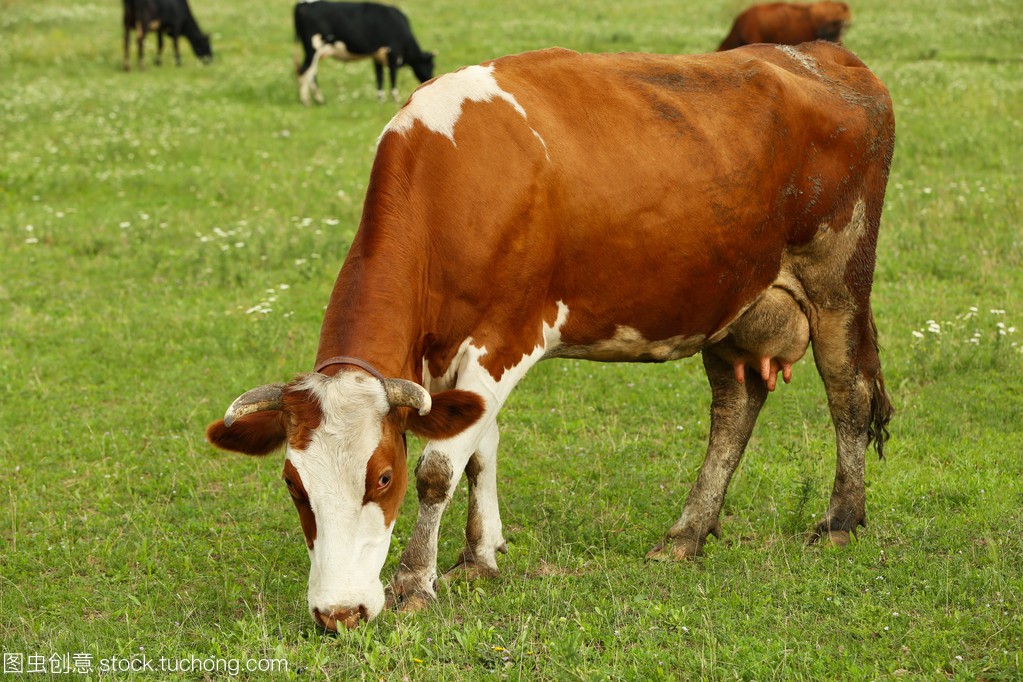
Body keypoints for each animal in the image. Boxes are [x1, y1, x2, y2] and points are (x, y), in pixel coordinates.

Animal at [207, 41, 896, 629]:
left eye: (381, 477)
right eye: (293, 483)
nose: (338, 613)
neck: (454, 186)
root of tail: (828, 56)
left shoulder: (506, 338)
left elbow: (439, 467)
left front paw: (413, 582)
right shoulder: (443, 364)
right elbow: (479, 446)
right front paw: (478, 557)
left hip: (838, 282)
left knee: (848, 393)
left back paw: (841, 519)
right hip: (732, 301)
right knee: (735, 407)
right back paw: (686, 534)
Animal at [298, 0, 437, 104]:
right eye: (431, 66)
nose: (430, 79)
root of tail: (304, 4)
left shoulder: (377, 56)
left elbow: (379, 77)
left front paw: (380, 99)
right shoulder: (393, 52)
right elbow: (392, 76)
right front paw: (395, 98)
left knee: (310, 73)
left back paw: (318, 100)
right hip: (313, 48)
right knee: (304, 70)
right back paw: (307, 101)